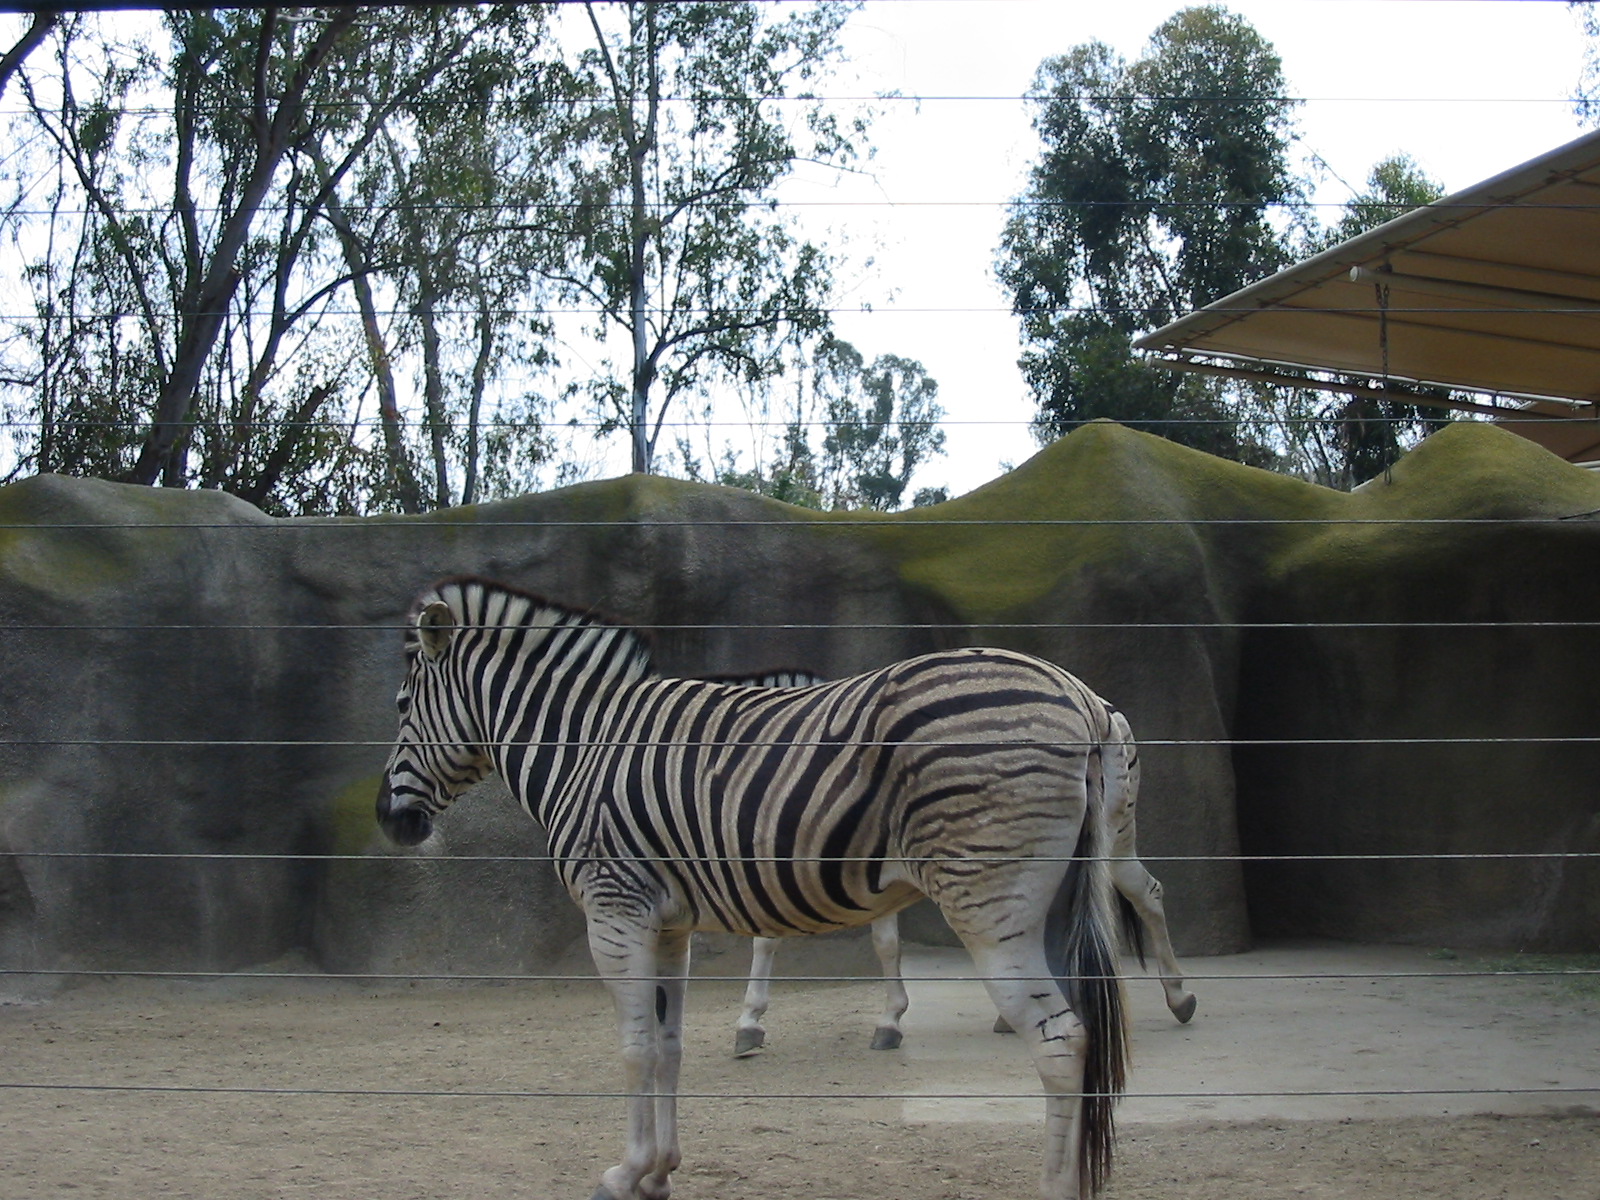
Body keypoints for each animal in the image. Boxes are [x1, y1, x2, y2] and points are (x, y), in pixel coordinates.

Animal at [377, 577, 1132, 1200]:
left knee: (1061, 1041)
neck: (584, 747)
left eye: (402, 704)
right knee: (1083, 1027)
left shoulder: (614, 910)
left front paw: (623, 1174)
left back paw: (1055, 1187)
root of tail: (1080, 699)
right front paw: (659, 1173)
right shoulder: (668, 923)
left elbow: (633, 1047)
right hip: (1057, 895)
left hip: (988, 902)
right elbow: (669, 1045)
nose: (390, 821)